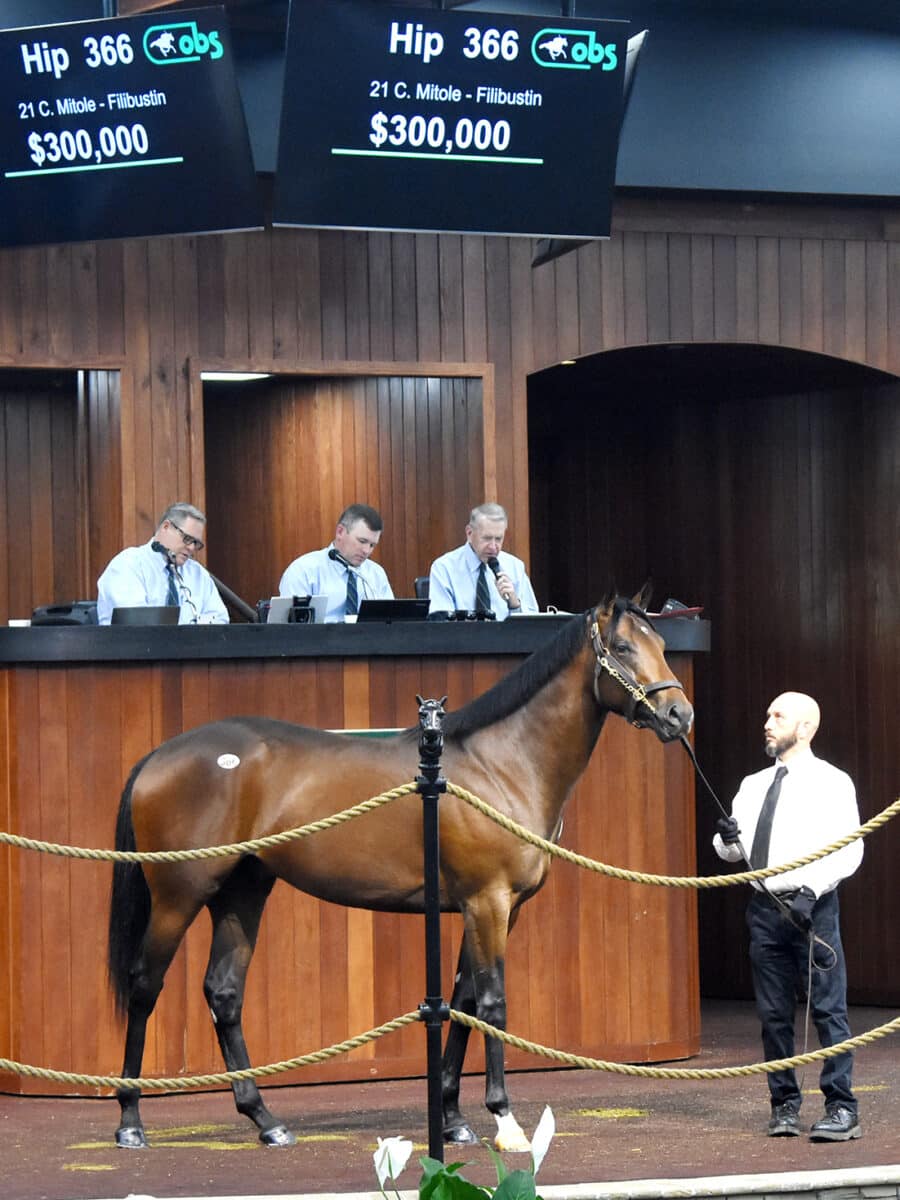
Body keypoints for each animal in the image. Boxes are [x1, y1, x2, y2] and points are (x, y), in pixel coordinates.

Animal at [107, 592, 696, 1152]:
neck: (499, 765)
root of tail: (159, 754)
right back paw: (130, 1121)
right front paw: (504, 1120)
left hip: (242, 891)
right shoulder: (488, 902)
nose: (679, 715)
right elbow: (493, 1003)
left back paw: (265, 1121)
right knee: (145, 985)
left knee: (224, 993)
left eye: (663, 643)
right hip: (178, 896)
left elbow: (462, 1001)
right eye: (623, 648)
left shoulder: (488, 908)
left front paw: (454, 1118)